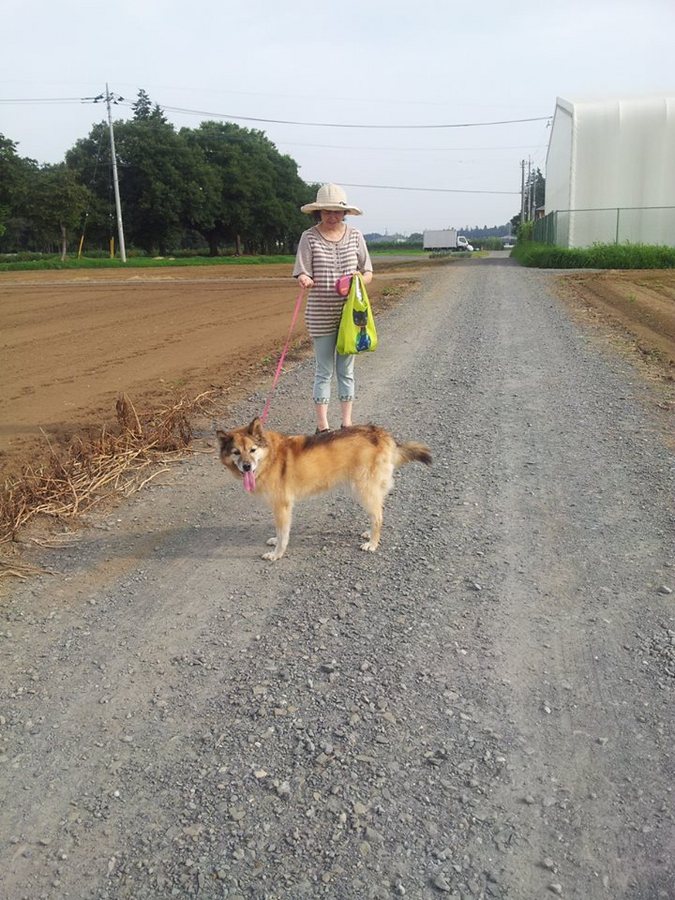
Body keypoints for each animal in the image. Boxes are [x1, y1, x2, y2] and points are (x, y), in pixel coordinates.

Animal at [217, 418, 434, 560]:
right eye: (236, 452)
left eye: (252, 450)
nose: (247, 467)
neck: (270, 457)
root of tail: (383, 435)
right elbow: (279, 533)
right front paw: (273, 541)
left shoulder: (282, 506)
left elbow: (283, 535)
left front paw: (276, 554)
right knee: (376, 513)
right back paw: (368, 533)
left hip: (363, 489)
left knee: (378, 517)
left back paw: (372, 543)